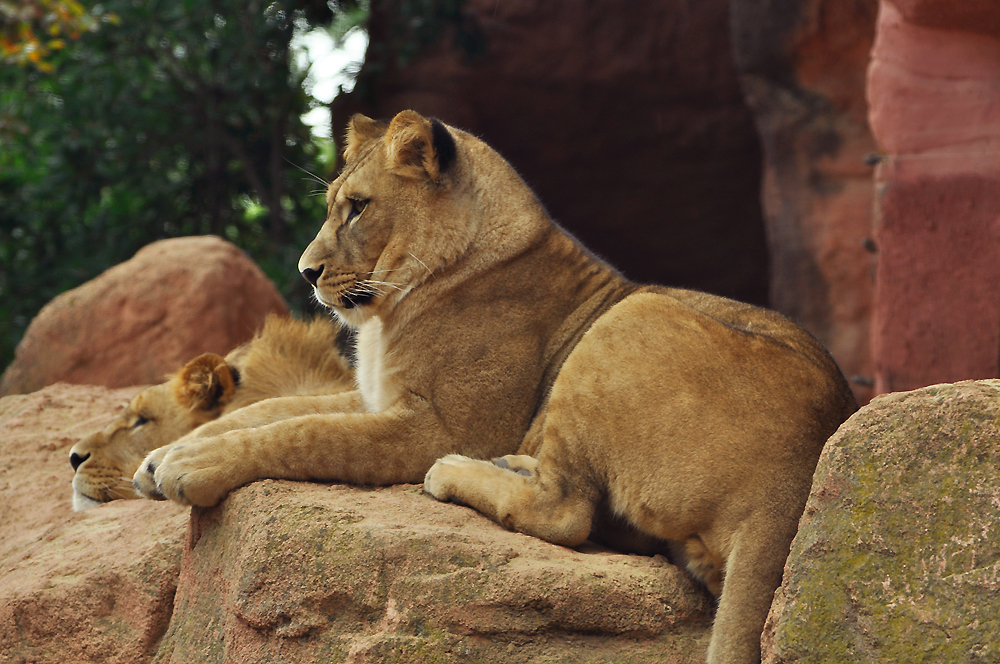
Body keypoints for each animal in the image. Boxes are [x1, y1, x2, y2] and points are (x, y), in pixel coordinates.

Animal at [131, 111, 852, 660]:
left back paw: (459, 474)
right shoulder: (374, 396)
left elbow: (302, 431)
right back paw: (514, 465)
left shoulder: (438, 425)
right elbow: (273, 409)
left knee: (565, 513)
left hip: (628, 317)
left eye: (358, 208)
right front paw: (163, 456)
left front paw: (191, 465)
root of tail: (799, 470)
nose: (307, 273)